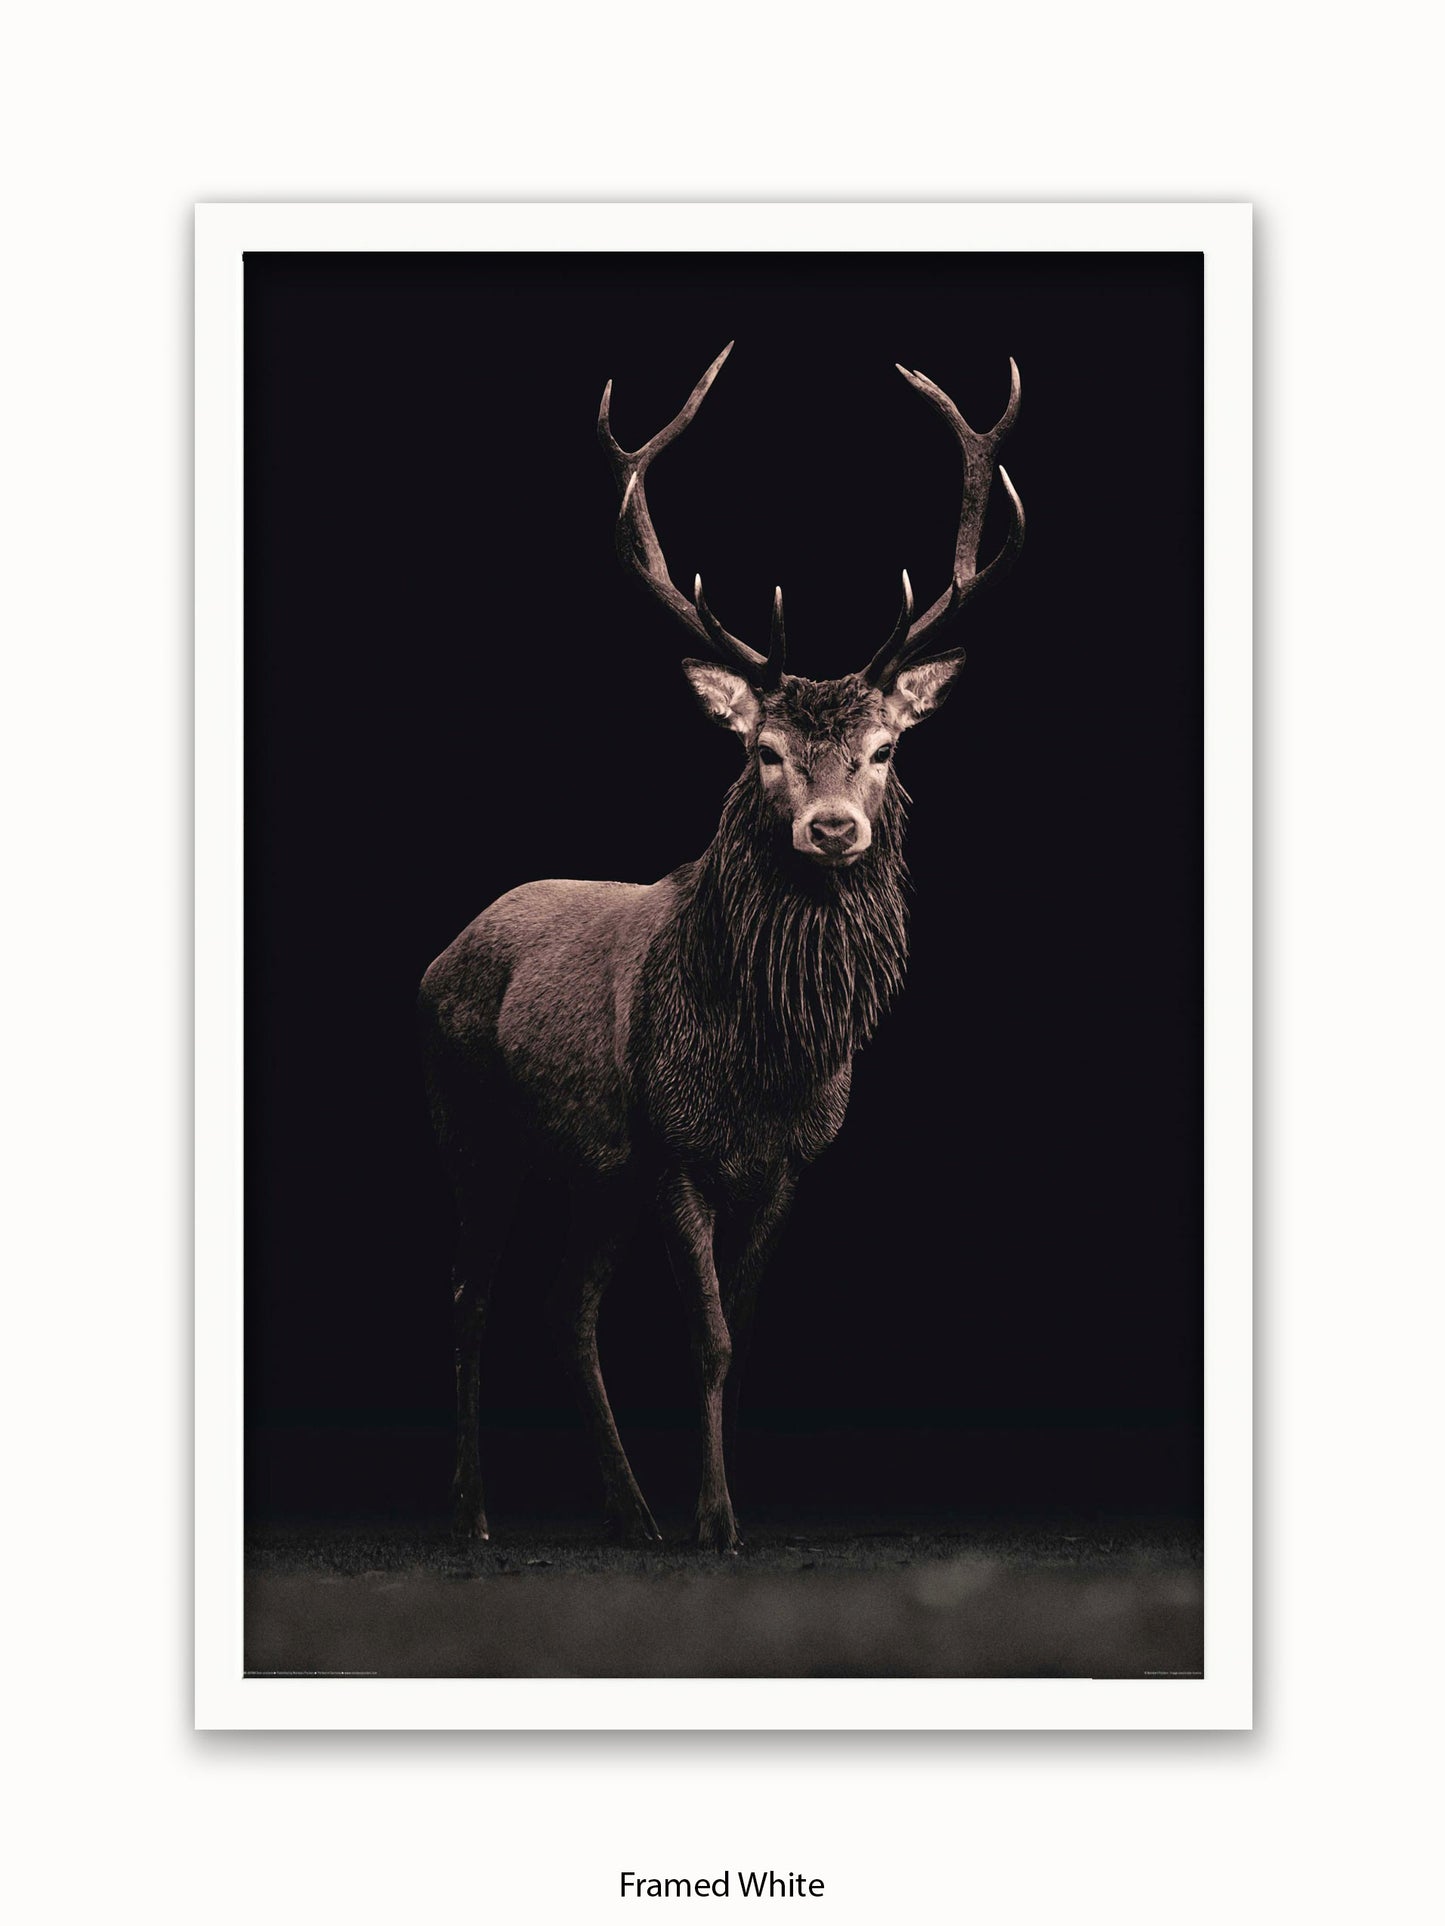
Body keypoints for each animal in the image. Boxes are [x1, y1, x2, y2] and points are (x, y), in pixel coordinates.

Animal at [419, 343, 1024, 1552]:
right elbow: (703, 1334)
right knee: (471, 1295)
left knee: (565, 1304)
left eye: (884, 749)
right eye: (764, 751)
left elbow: (738, 1342)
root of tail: (438, 957)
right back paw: (475, 1512)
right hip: (473, 1122)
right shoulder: (673, 1148)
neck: (764, 1065)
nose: (831, 829)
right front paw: (715, 1519)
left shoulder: (785, 1163)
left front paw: (717, 1502)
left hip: (592, 1166)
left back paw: (627, 1509)